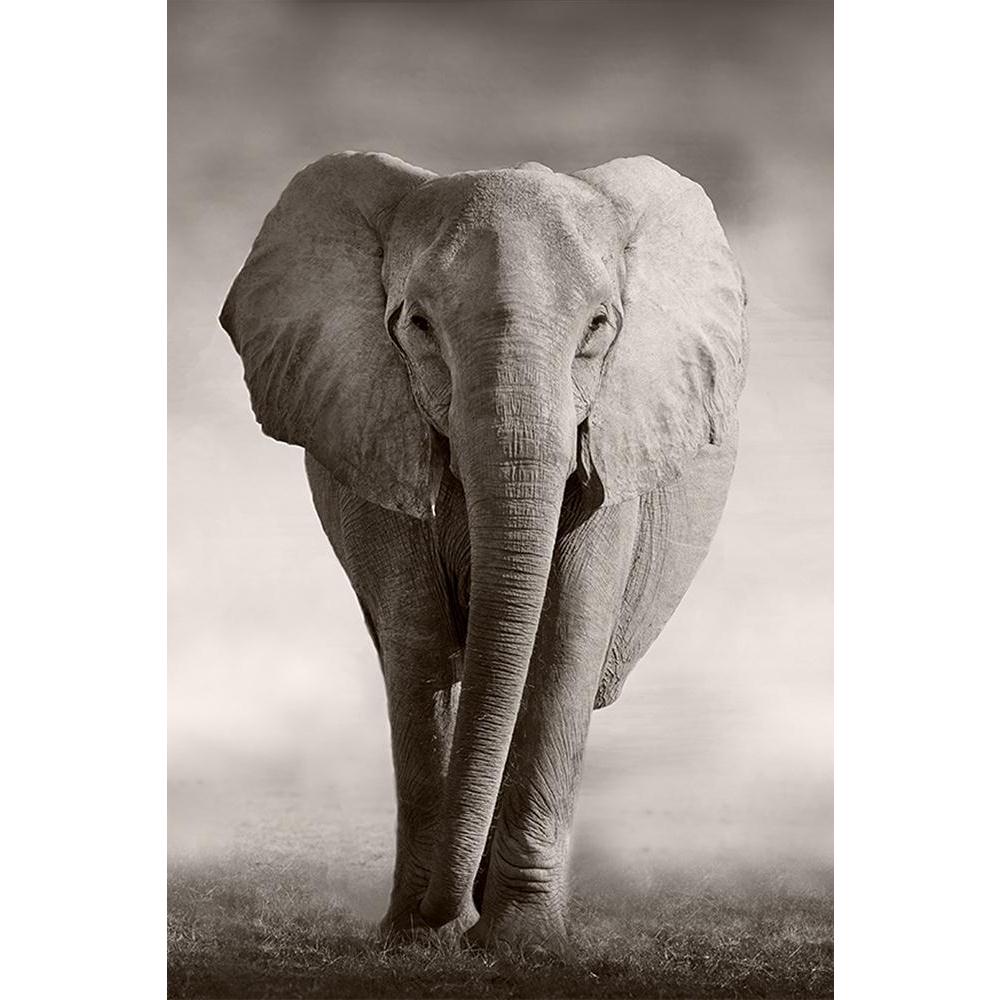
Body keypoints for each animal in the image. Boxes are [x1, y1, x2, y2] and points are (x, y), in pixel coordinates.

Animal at [220, 151, 748, 952]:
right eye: (418, 325)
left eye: (599, 327)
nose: (449, 919)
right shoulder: (376, 434)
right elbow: (419, 641)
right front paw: (419, 938)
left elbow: (563, 640)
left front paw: (522, 944)